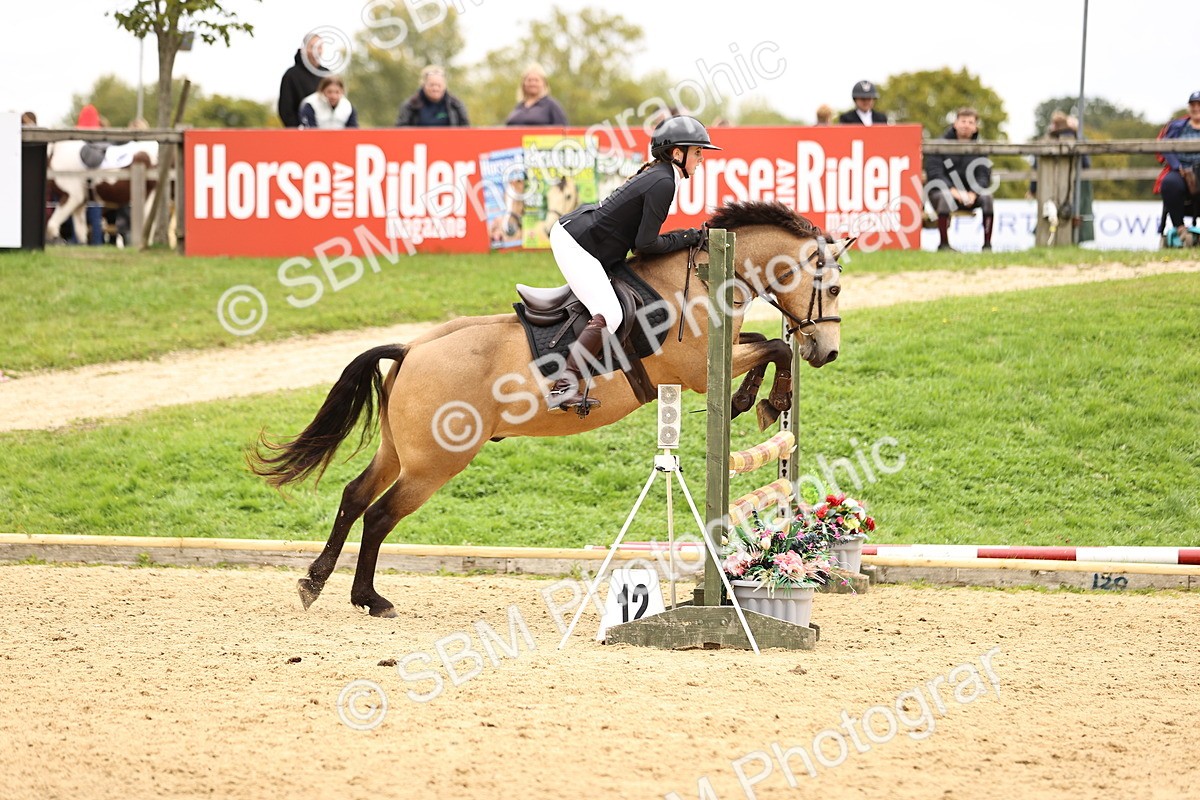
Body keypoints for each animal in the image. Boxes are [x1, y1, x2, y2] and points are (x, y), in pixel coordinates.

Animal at [249, 200, 851, 618]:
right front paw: (763, 400)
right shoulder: (696, 372)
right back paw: (369, 598)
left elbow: (768, 345)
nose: (827, 352)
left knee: (354, 498)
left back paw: (315, 582)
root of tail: (411, 350)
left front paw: (762, 399)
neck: (704, 278)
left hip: (401, 452)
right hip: (434, 463)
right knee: (378, 515)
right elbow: (773, 348)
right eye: (834, 289)